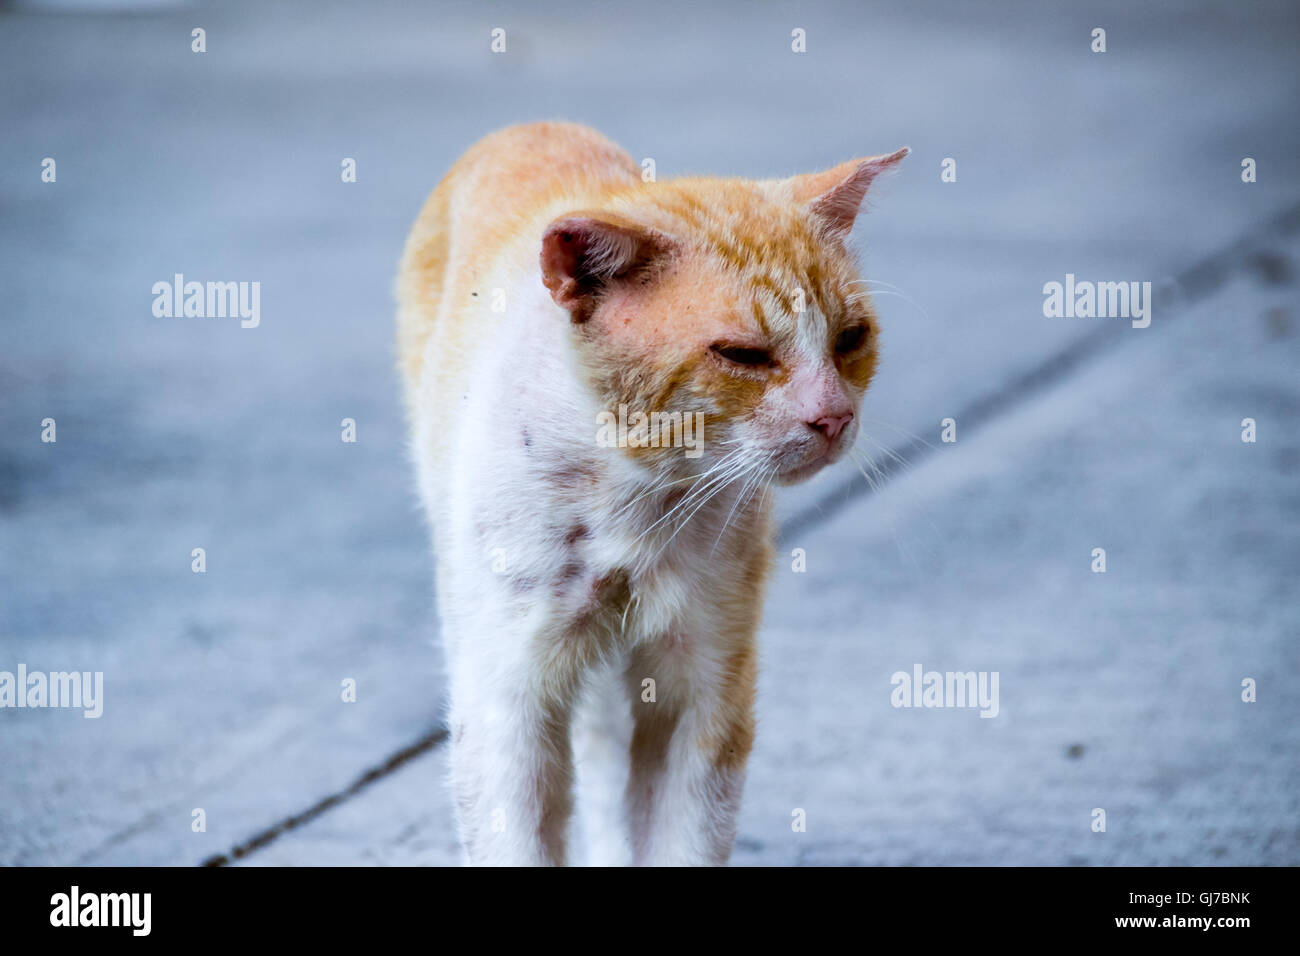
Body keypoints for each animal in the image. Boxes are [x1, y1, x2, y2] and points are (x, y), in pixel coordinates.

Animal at [395, 121, 904, 868]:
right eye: (742, 356)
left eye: (851, 339)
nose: (834, 416)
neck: (636, 492)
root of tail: (529, 125)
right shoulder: (507, 694)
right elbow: (515, 835)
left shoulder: (703, 686)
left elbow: (682, 837)